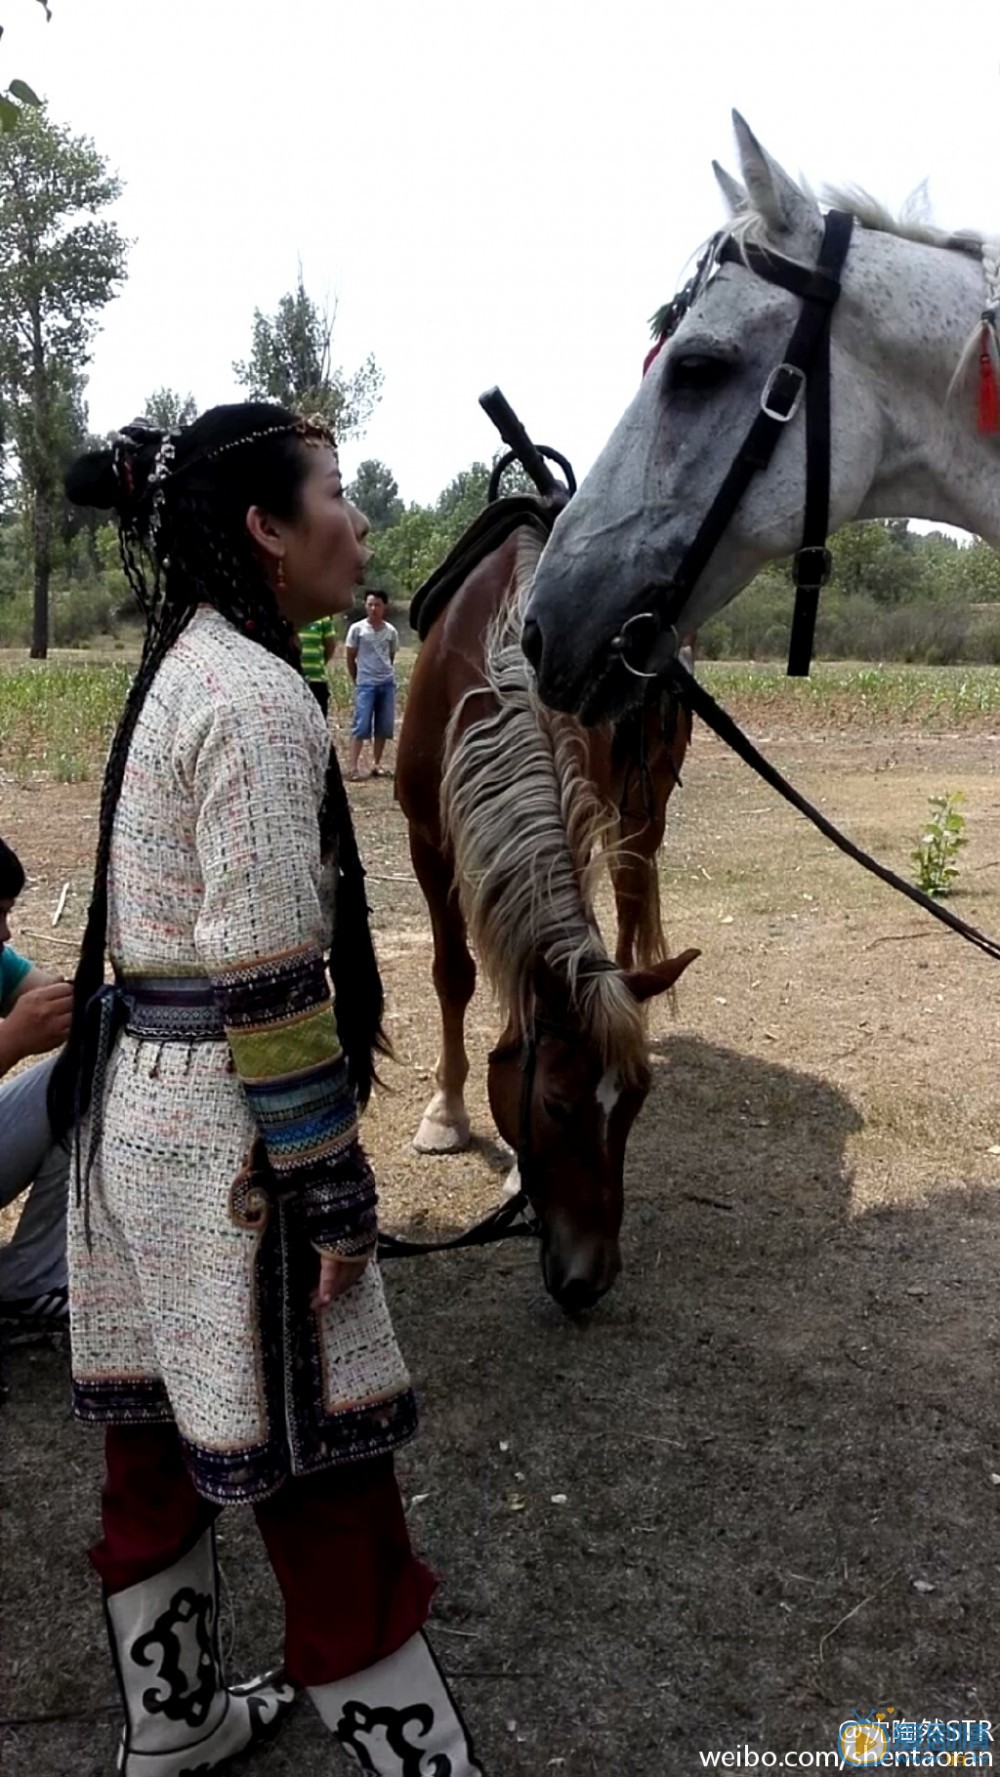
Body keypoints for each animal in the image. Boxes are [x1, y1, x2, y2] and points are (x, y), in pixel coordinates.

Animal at [396, 518, 699, 1314]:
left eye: (635, 1107)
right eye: (559, 1107)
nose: (592, 1278)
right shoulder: (426, 841)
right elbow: (453, 974)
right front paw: (446, 1112)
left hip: (642, 810)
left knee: (629, 904)